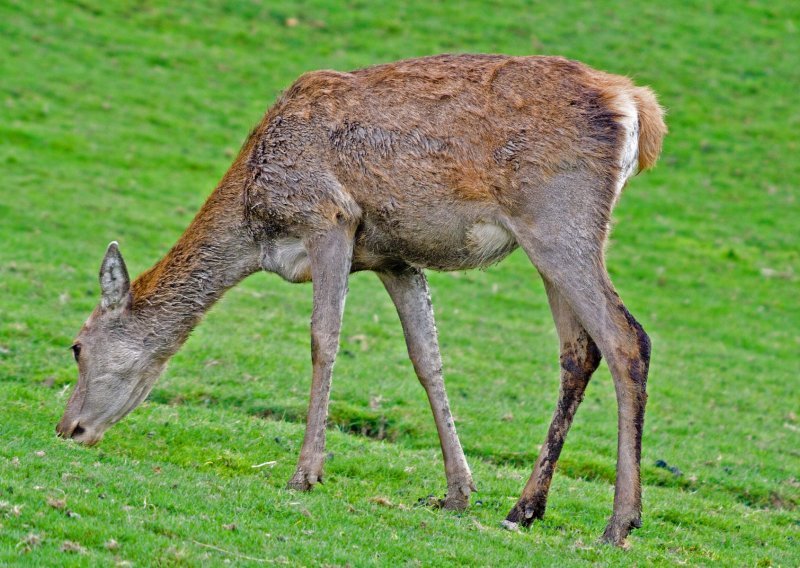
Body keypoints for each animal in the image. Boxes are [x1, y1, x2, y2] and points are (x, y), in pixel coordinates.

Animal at [56, 54, 664, 544]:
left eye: (77, 346)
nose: (67, 429)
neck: (256, 219)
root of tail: (638, 108)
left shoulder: (330, 218)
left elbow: (324, 338)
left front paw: (305, 473)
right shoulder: (394, 257)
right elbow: (427, 359)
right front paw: (457, 492)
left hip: (557, 220)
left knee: (625, 338)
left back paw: (619, 523)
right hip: (551, 239)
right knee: (578, 352)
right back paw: (524, 509)